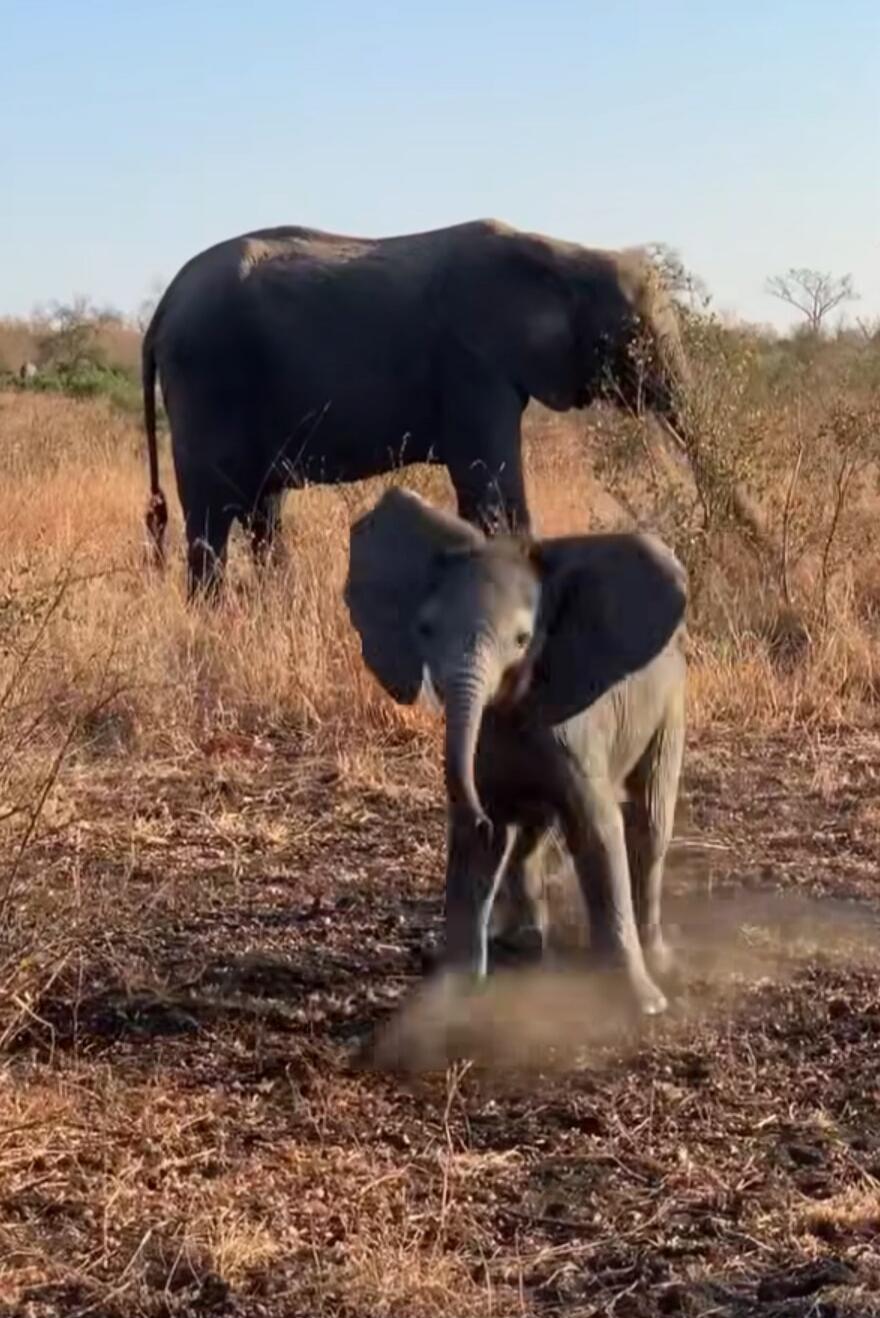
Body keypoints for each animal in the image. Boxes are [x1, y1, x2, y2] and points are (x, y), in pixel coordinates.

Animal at [142, 218, 700, 596]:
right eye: (638, 339)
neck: (565, 254)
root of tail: (163, 307)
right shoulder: (472, 364)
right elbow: (493, 492)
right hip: (208, 376)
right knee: (213, 515)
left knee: (264, 510)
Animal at [344, 487, 688, 1016]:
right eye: (424, 630)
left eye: (523, 640)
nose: (485, 819)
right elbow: (475, 848)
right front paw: (449, 997)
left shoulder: (574, 733)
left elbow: (598, 830)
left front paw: (643, 1006)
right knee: (532, 835)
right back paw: (524, 944)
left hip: (670, 702)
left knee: (649, 822)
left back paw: (659, 962)